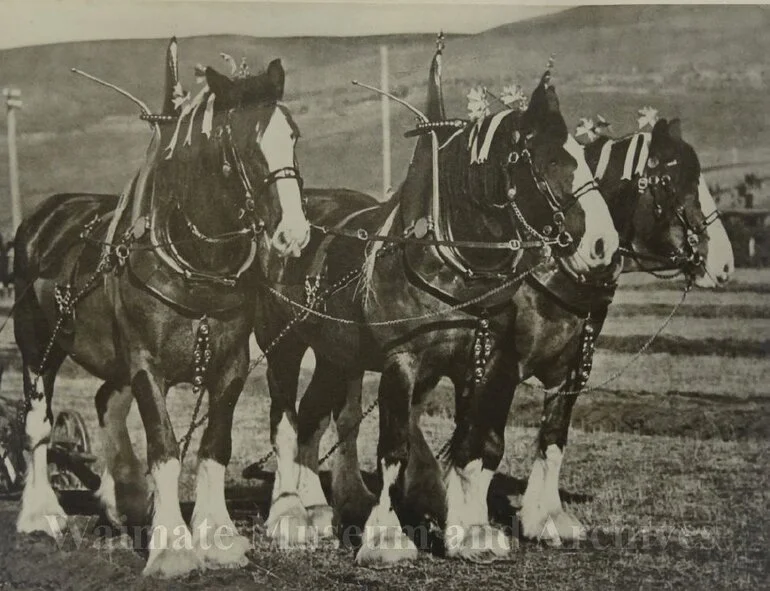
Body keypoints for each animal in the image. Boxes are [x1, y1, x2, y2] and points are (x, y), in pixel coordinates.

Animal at [11, 39, 306, 576]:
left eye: (291, 135)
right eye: (245, 145)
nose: (294, 235)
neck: (196, 261)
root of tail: (44, 217)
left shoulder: (230, 363)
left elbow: (214, 447)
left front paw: (217, 536)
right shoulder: (146, 363)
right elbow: (165, 447)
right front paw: (171, 546)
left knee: (106, 400)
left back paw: (122, 496)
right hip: (37, 345)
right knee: (37, 421)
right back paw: (40, 512)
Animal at [255, 53, 616, 568]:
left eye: (587, 160)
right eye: (550, 162)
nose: (603, 244)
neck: (448, 263)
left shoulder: (484, 363)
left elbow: (476, 444)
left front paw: (470, 530)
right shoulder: (401, 363)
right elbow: (394, 447)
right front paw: (387, 538)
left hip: (336, 355)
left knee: (312, 418)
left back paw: (320, 508)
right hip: (283, 346)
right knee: (285, 423)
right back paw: (287, 517)